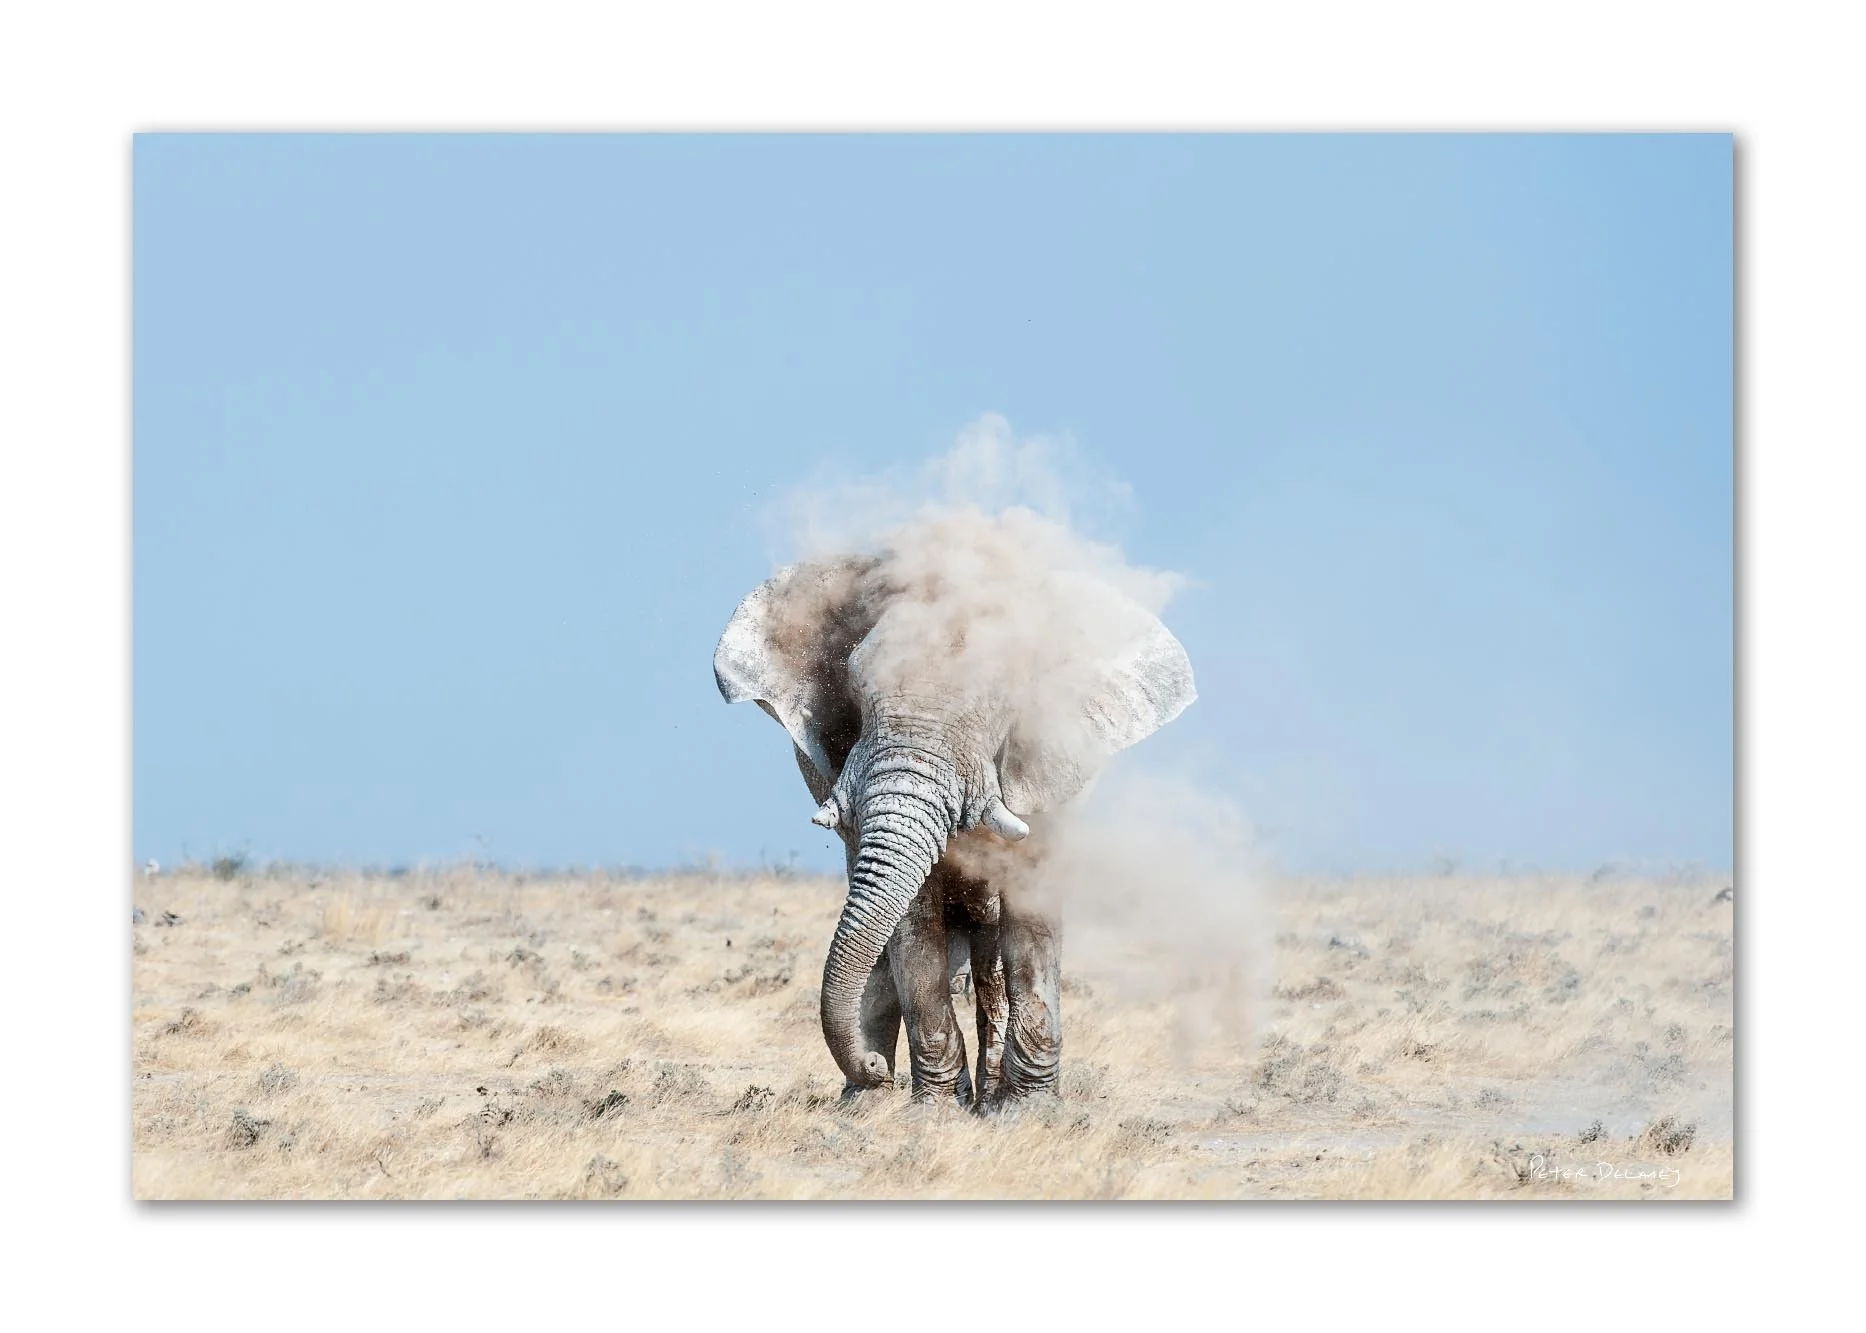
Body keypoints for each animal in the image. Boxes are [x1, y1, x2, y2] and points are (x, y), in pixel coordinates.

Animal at [713, 514, 1196, 1105]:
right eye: (854, 689)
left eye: (1002, 703)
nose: (870, 1065)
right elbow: (912, 919)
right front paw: (935, 1111)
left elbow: (1031, 909)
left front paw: (1026, 1111)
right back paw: (866, 1103)